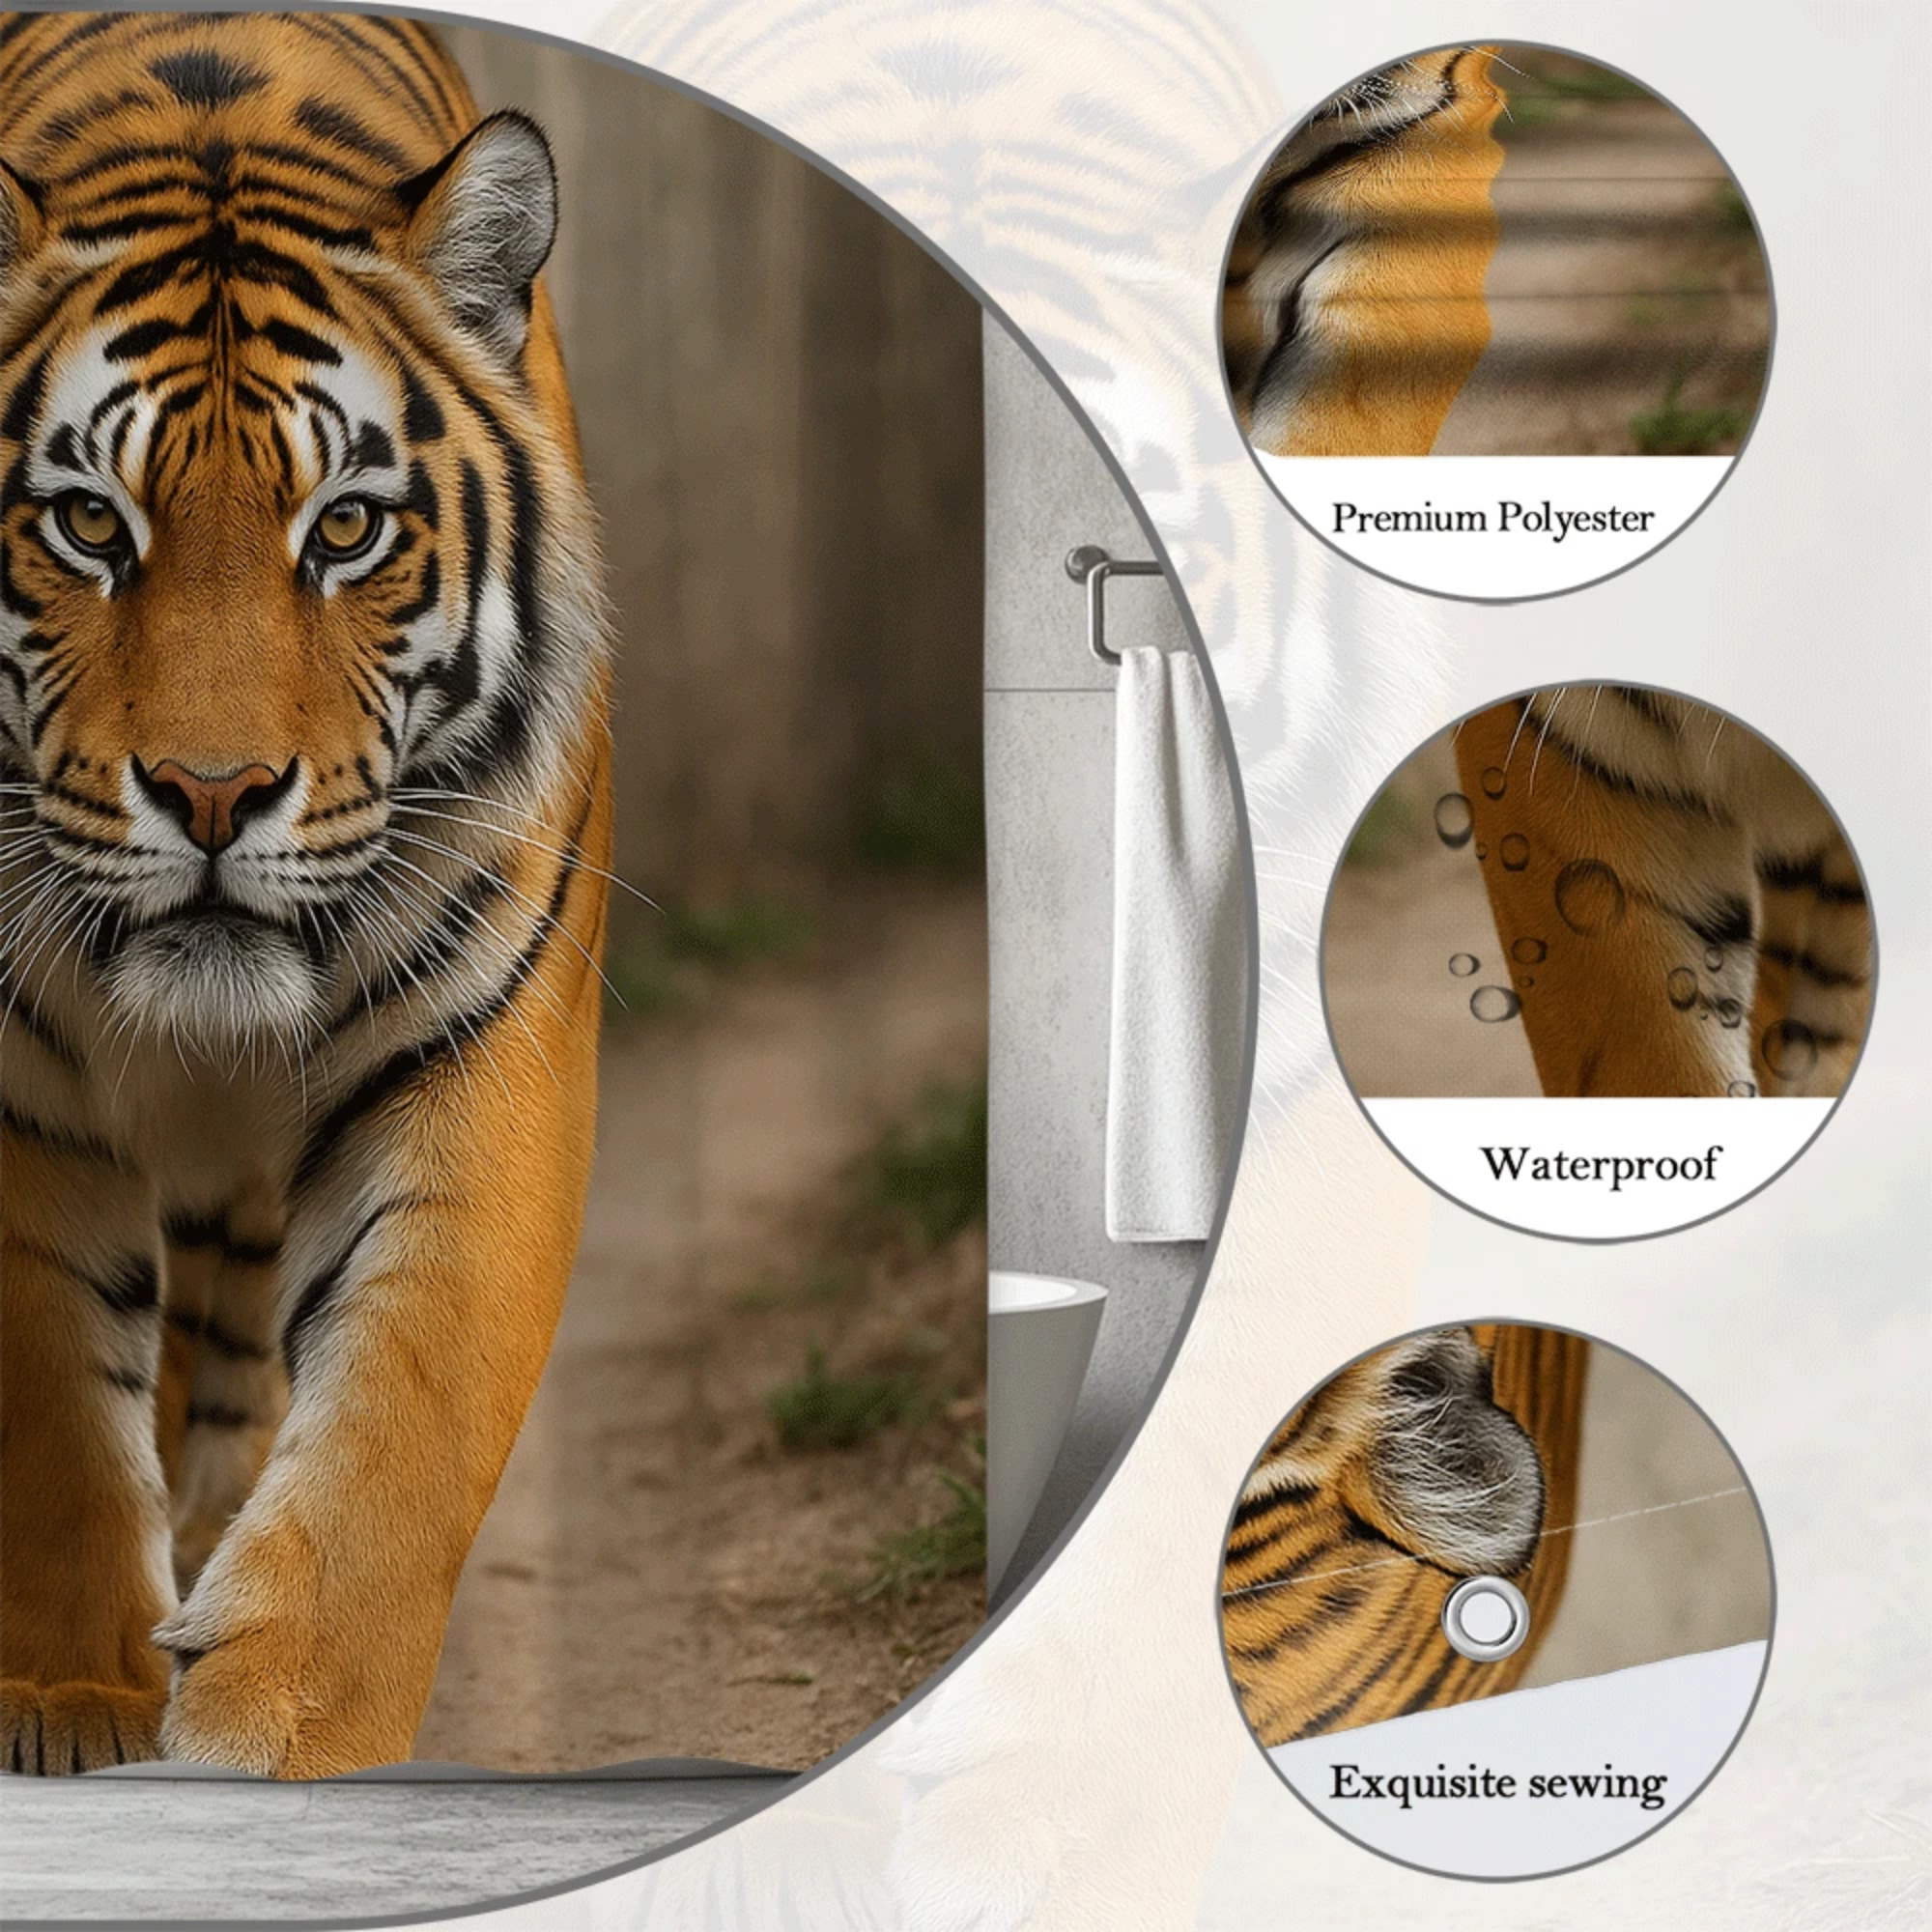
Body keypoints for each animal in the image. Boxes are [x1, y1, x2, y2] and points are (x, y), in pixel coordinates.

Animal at [0, 12, 612, 1776]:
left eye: (343, 530)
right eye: (87, 521)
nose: (213, 795)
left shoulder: (478, 1039)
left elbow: (408, 1413)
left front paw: (281, 1736)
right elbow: (48, 1416)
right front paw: (71, 1697)